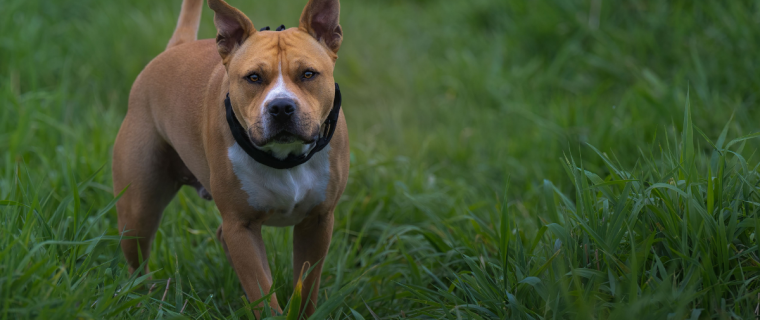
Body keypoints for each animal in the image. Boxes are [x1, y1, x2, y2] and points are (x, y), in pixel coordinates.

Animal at [111, 0, 348, 316]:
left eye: (308, 74)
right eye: (253, 77)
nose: (281, 107)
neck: (284, 157)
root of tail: (175, 48)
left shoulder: (318, 222)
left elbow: (306, 286)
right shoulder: (241, 226)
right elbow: (262, 291)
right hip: (137, 212)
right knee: (137, 260)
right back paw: (145, 300)